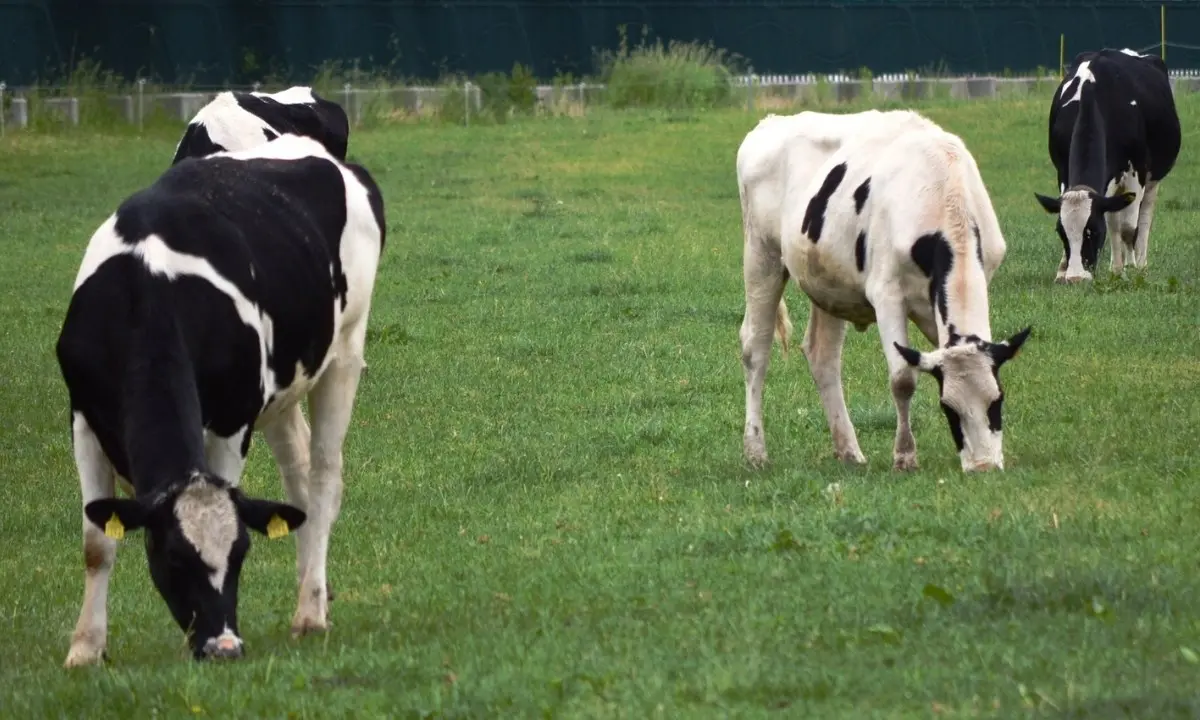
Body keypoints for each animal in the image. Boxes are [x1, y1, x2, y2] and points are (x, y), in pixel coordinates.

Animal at [55, 133, 384, 662]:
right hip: (283, 388)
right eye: (172, 556)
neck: (147, 291)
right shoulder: (84, 415)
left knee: (323, 479)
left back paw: (310, 611)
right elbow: (96, 543)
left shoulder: (233, 418)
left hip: (344, 353)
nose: (223, 646)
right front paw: (85, 651)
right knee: (298, 480)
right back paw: (311, 593)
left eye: (241, 554)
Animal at [734, 111, 1036, 472]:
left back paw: (849, 450)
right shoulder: (887, 295)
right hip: (760, 255)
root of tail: (771, 121)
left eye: (997, 400)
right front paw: (904, 456)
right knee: (756, 348)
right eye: (948, 408)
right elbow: (903, 379)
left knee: (823, 355)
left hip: (827, 279)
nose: (984, 468)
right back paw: (755, 450)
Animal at [1032, 47, 1180, 283]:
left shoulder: (1136, 172)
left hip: (1152, 179)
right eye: (1061, 233)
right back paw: (1116, 268)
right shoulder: (1062, 170)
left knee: (1143, 219)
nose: (1076, 278)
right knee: (1114, 220)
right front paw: (1063, 270)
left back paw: (1139, 265)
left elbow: (1129, 228)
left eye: (1094, 231)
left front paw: (1131, 269)